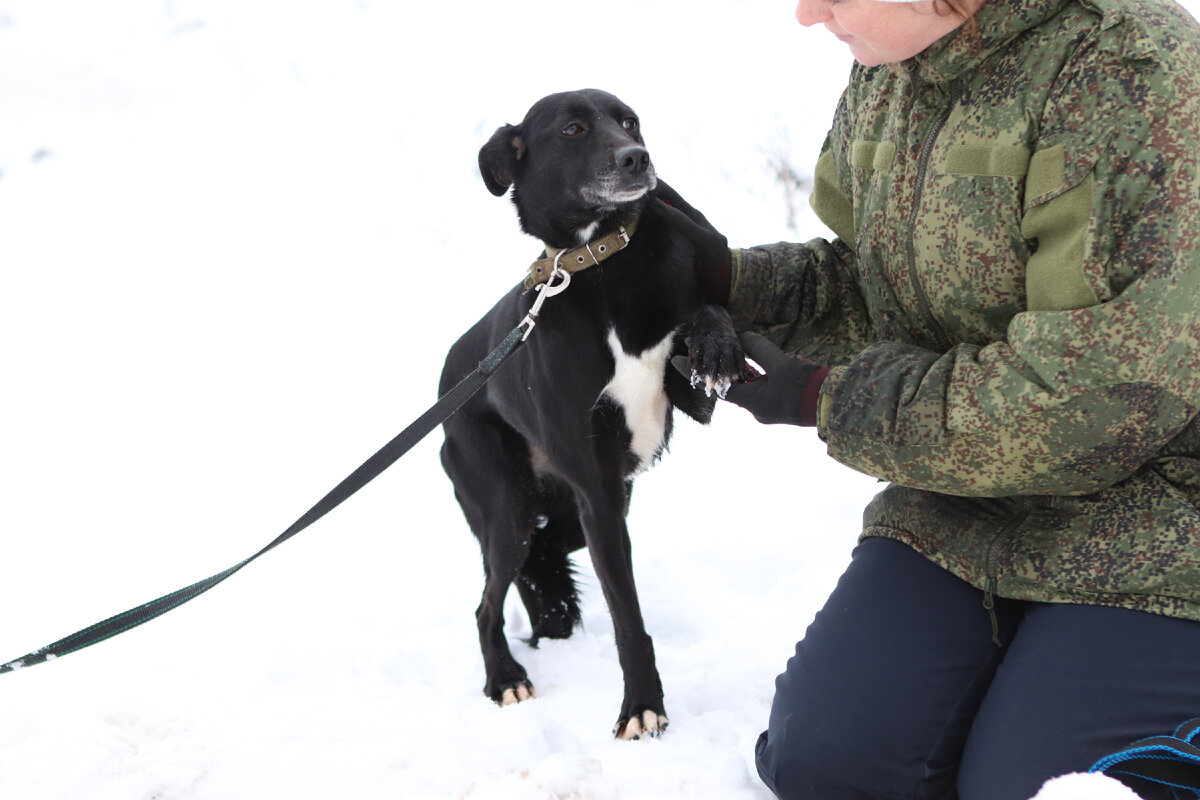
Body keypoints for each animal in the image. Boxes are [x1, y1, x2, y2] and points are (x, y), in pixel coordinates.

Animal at [441, 87, 739, 738]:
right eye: (574, 129)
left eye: (629, 121)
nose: (638, 158)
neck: (602, 267)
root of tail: (449, 375)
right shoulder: (598, 490)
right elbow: (628, 617)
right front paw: (643, 707)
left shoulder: (680, 415)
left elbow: (706, 317)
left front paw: (717, 344)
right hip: (511, 509)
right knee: (486, 602)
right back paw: (505, 678)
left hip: (572, 516)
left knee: (542, 559)